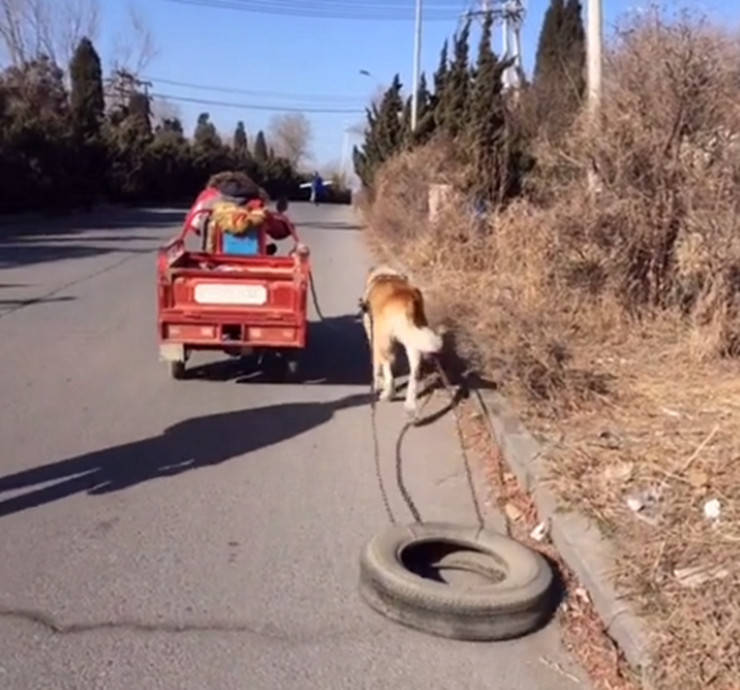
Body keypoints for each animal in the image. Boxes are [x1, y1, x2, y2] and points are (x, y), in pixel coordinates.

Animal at [362, 266, 442, 412]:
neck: (384, 275)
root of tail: (407, 301)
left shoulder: (374, 339)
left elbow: (376, 366)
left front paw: (376, 383)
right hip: (413, 340)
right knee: (414, 372)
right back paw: (410, 403)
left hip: (384, 340)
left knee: (388, 368)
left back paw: (388, 393)